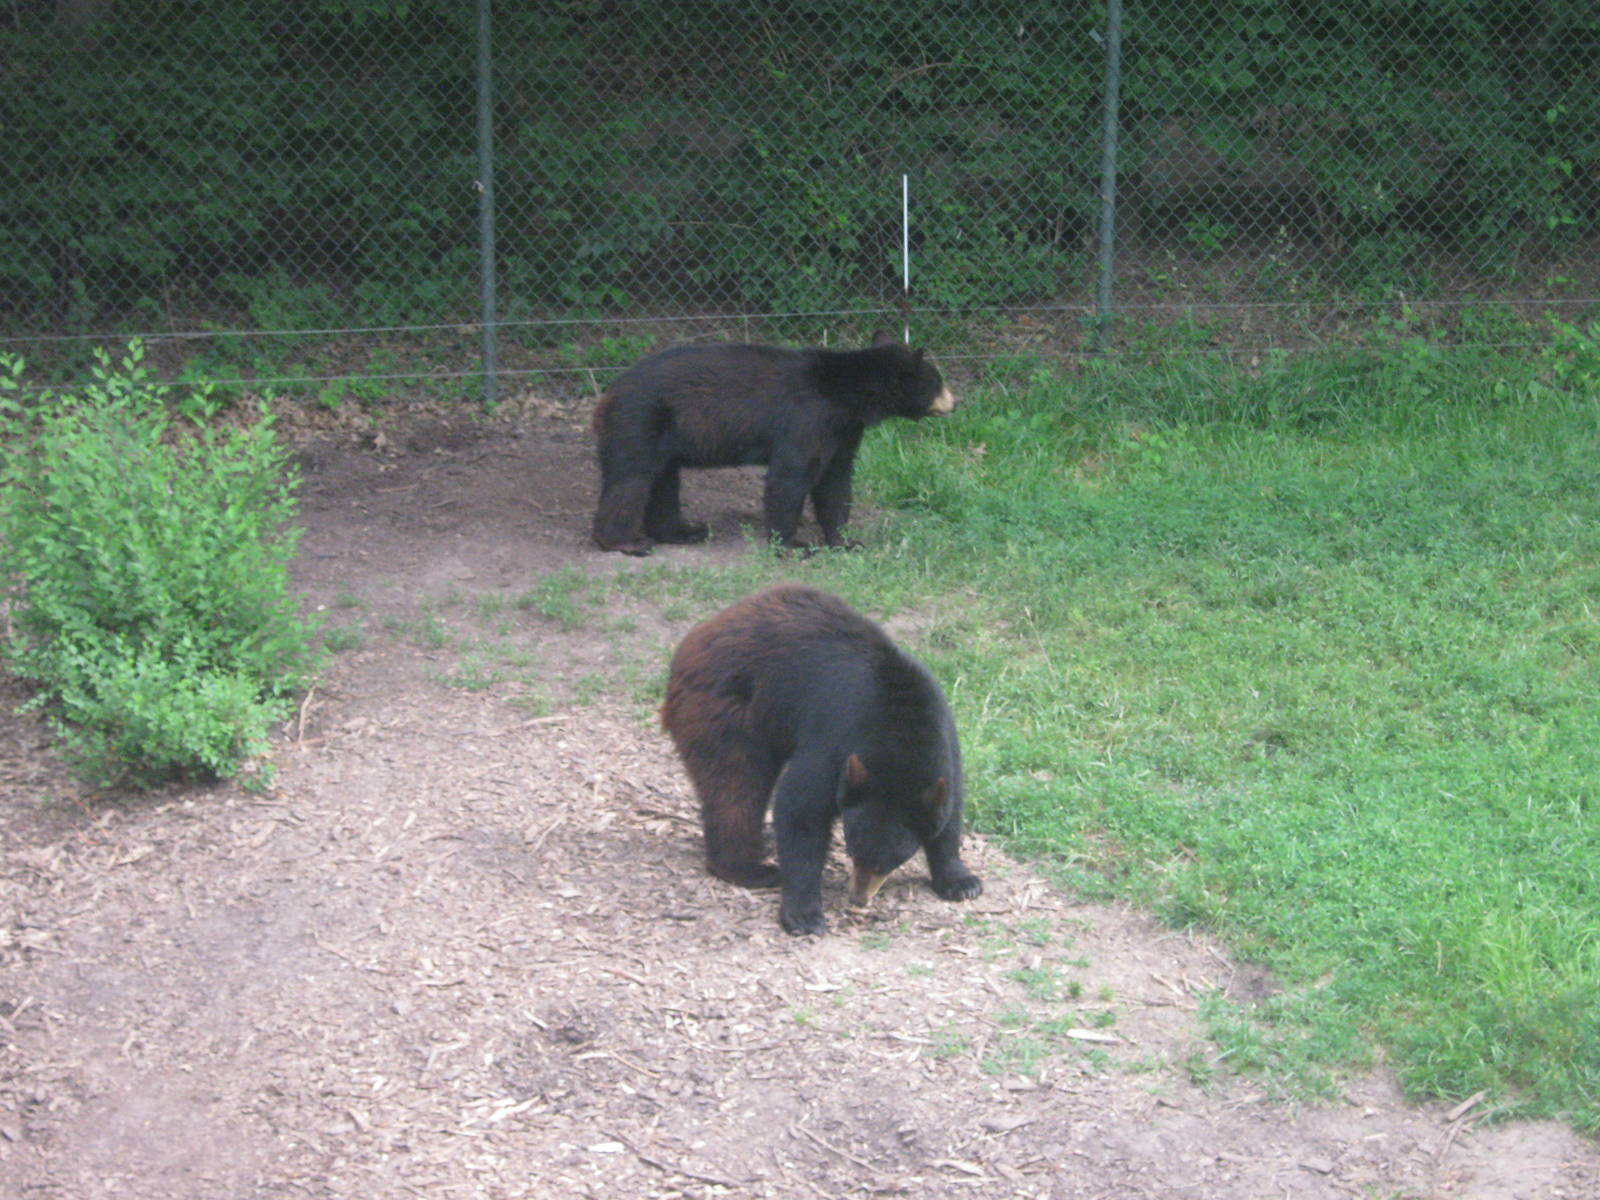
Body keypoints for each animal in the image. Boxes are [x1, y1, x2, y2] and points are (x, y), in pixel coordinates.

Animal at [590, 331, 955, 555]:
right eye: (938, 381)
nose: (956, 402)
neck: (845, 394)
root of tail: (609, 393)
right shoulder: (808, 419)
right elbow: (791, 475)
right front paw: (792, 545)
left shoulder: (843, 431)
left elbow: (836, 481)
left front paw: (844, 541)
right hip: (640, 421)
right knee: (632, 480)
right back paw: (622, 542)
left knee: (663, 482)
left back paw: (683, 531)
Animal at [660, 583, 983, 935]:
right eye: (854, 849)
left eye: (890, 861)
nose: (858, 898)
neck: (901, 728)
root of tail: (698, 634)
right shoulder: (835, 738)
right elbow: (801, 809)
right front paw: (804, 914)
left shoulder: (946, 745)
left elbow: (950, 813)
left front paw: (961, 881)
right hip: (725, 706)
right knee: (736, 785)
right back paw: (749, 868)